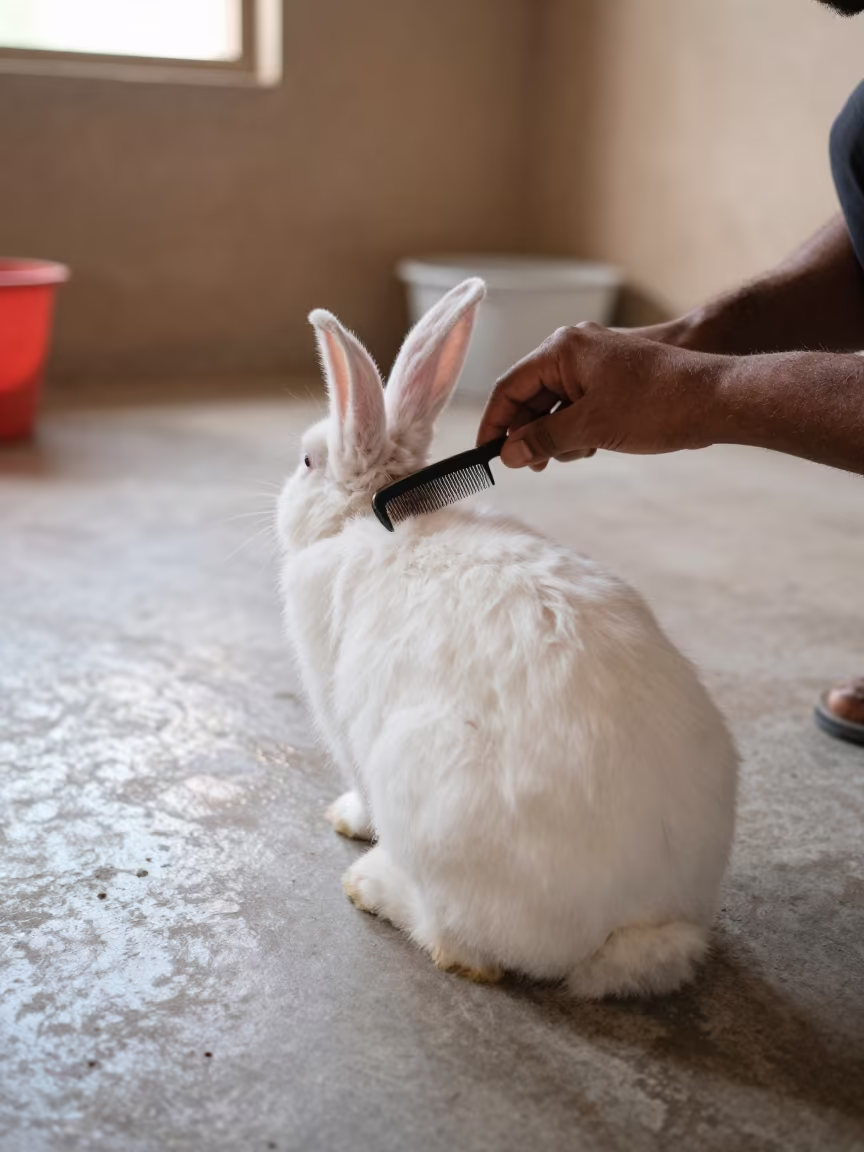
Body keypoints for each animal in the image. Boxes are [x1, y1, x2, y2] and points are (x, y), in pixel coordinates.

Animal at [276, 277, 738, 999]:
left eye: (305, 461)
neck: (369, 514)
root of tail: (631, 924)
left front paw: (346, 819)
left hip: (419, 780)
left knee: (463, 947)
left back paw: (373, 886)